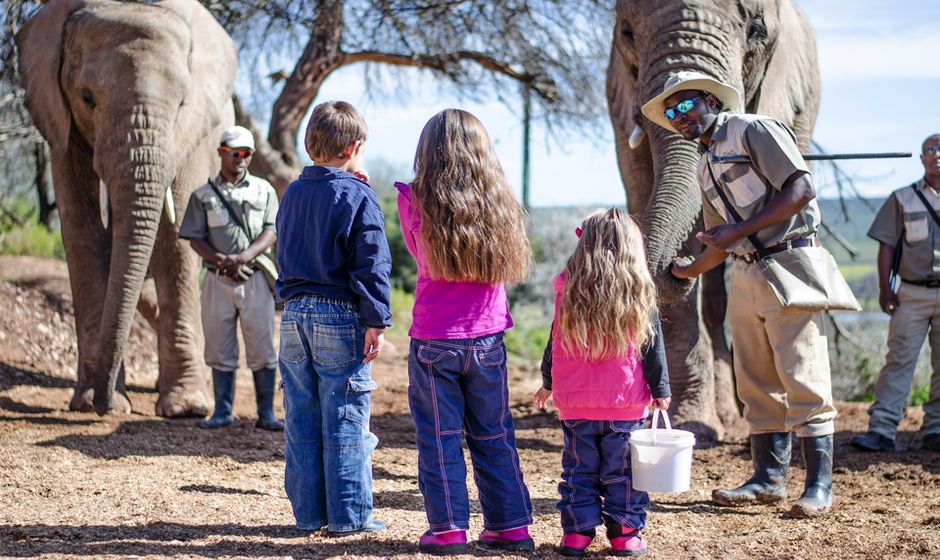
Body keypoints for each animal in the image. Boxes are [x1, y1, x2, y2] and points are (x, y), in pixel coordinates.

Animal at [15, 0, 237, 416]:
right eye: (87, 98)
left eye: (182, 102)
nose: (106, 408)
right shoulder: (60, 121)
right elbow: (82, 229)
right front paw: (91, 401)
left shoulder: (192, 132)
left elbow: (176, 236)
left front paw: (186, 409)